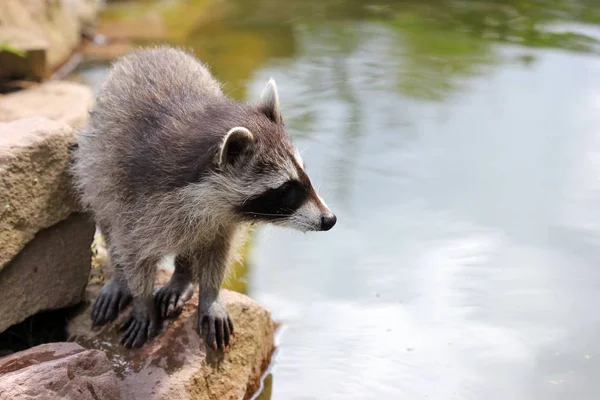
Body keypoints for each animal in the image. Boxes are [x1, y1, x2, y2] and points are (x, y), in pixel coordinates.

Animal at [71, 45, 338, 348]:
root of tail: (151, 50)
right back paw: (121, 277)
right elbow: (133, 251)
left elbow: (216, 251)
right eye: (285, 188)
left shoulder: (219, 219)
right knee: (106, 218)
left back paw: (182, 276)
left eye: (304, 174)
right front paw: (141, 300)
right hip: (94, 163)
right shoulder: (134, 196)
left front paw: (210, 295)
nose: (329, 219)